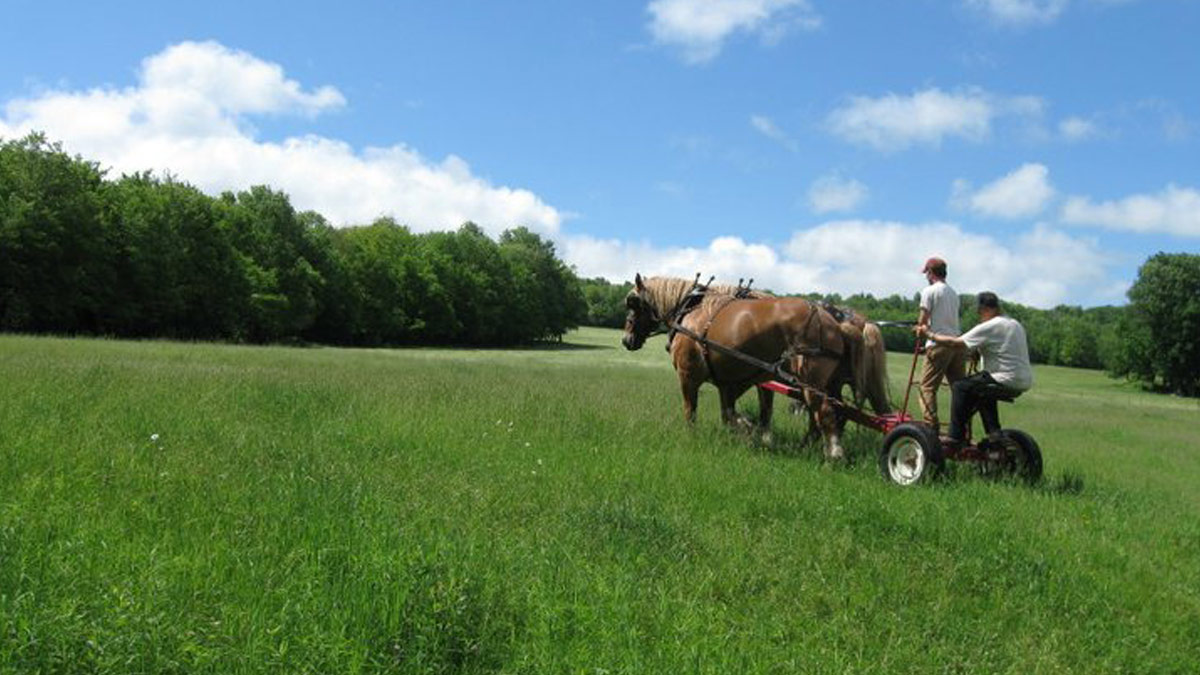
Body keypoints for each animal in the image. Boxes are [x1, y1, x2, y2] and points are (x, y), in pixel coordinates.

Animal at [619, 273, 892, 456]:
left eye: (633, 304)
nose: (626, 340)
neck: (690, 311)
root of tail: (835, 322)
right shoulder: (730, 382)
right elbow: (733, 413)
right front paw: (748, 432)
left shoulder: (689, 376)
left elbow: (691, 410)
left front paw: (693, 436)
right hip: (827, 383)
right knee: (834, 414)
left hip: (811, 382)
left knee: (824, 413)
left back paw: (832, 454)